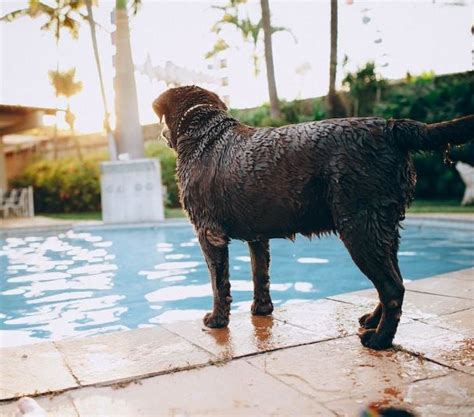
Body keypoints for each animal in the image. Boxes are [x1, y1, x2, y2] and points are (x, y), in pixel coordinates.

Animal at [154, 86, 472, 350]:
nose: (161, 134)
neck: (206, 135)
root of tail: (390, 127)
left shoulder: (209, 233)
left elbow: (219, 283)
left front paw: (217, 320)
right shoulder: (258, 236)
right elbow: (260, 274)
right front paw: (262, 311)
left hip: (359, 227)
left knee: (392, 288)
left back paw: (380, 340)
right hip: (383, 225)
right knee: (394, 280)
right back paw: (373, 321)